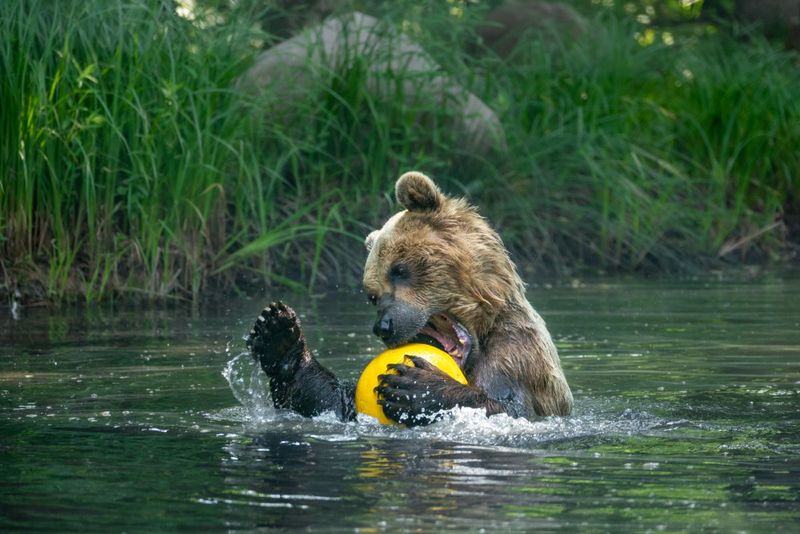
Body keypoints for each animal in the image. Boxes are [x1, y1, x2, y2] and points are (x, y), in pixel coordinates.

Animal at [247, 172, 572, 428]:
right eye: (372, 295)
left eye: (400, 269)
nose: (384, 325)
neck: (481, 339)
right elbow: (334, 403)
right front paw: (277, 333)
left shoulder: (519, 357)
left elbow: (512, 409)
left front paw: (416, 386)